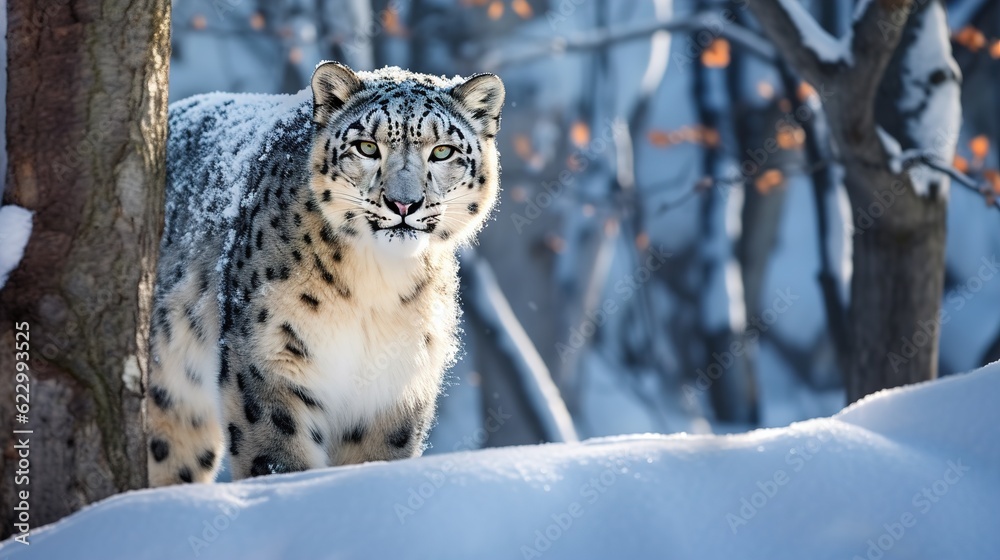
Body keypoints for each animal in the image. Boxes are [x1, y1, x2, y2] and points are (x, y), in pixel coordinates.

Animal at [146, 61, 504, 485]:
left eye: (443, 151)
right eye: (367, 146)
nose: (404, 203)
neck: (377, 286)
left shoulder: (394, 387)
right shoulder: (268, 357)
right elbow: (276, 456)